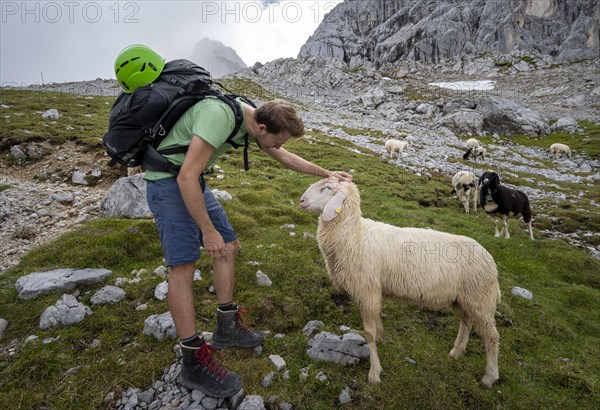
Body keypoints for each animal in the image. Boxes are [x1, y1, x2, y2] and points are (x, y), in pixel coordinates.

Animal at [300, 179, 502, 388]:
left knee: (492, 337)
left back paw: (490, 377)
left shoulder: (367, 290)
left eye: (328, 188)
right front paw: (380, 338)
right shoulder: (373, 291)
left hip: (480, 299)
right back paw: (457, 352)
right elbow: (376, 326)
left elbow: (369, 333)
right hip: (462, 299)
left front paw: (374, 373)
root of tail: (490, 260)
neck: (354, 234)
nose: (302, 200)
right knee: (466, 322)